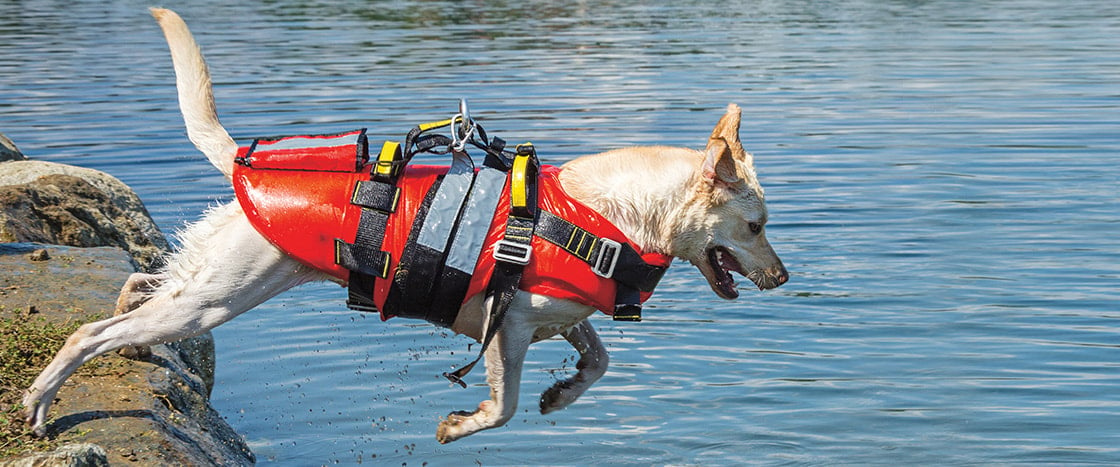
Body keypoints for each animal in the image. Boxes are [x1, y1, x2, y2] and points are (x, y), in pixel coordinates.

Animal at [19, 9, 788, 441]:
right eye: (755, 226)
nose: (783, 277)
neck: (606, 215)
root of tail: (239, 156)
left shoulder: (559, 316)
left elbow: (598, 359)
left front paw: (563, 392)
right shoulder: (507, 329)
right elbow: (503, 406)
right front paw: (463, 424)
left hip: (215, 287)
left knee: (137, 290)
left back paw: (129, 339)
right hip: (218, 297)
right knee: (89, 332)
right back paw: (40, 401)